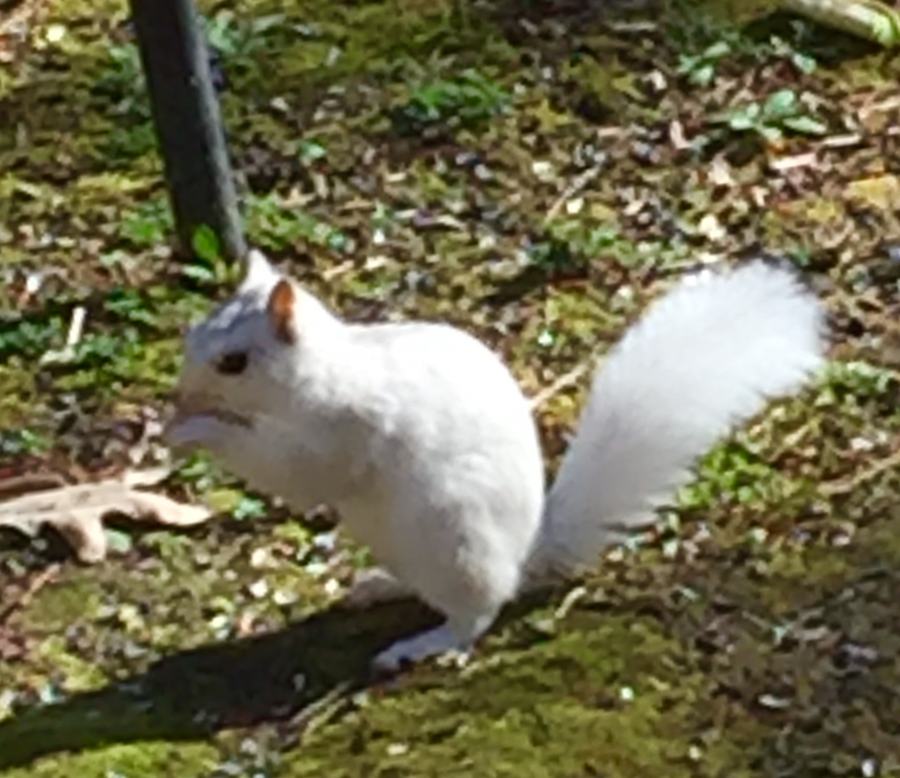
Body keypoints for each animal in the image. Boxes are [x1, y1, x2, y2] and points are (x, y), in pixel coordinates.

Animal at [165, 250, 826, 671]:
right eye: (194, 331)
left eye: (233, 362)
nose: (179, 391)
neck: (321, 374)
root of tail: (523, 556)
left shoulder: (337, 433)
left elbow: (289, 469)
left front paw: (190, 431)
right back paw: (377, 586)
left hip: (454, 544)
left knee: (474, 616)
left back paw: (421, 645)